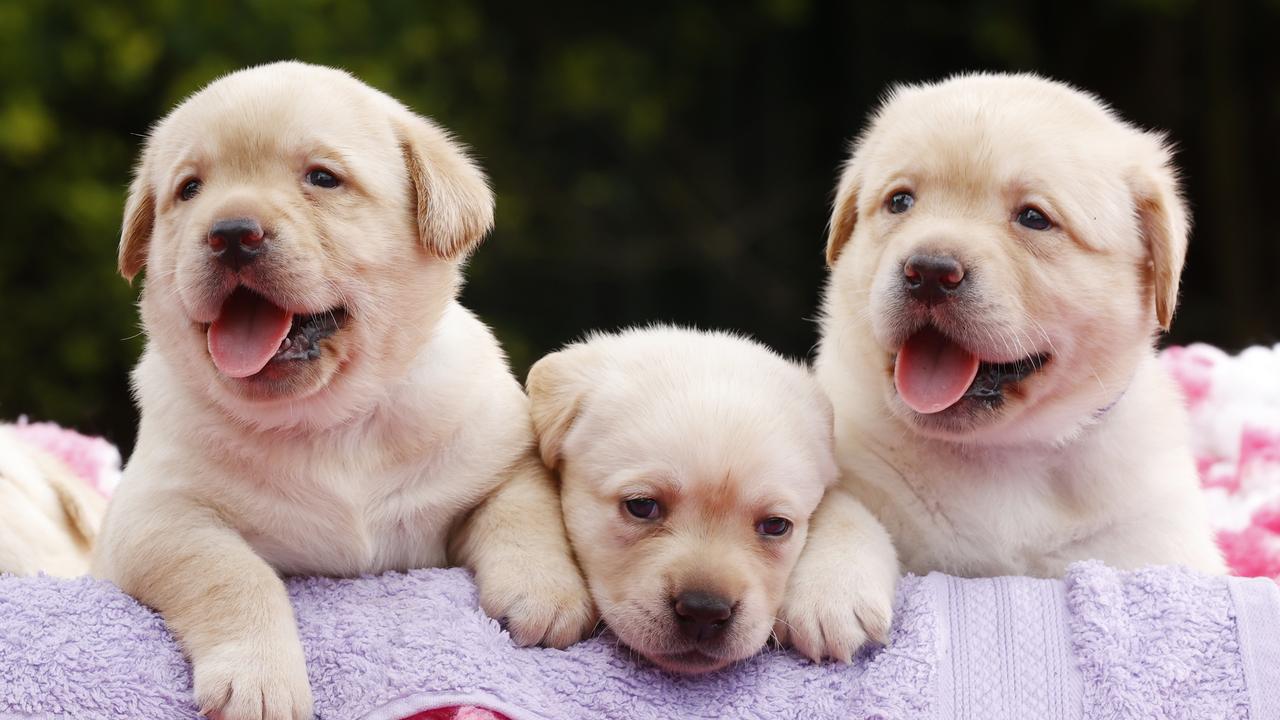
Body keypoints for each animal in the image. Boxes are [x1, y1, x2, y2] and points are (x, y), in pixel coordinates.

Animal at [93, 63, 593, 717]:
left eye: (323, 178)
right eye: (190, 190)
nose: (230, 232)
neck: (331, 421)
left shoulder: (502, 457)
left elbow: (525, 510)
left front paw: (545, 594)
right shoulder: (154, 518)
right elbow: (231, 573)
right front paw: (260, 679)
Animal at [814, 73, 1223, 576]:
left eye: (1033, 218)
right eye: (900, 201)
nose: (929, 271)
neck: (999, 458)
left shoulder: (1149, 535)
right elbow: (841, 520)